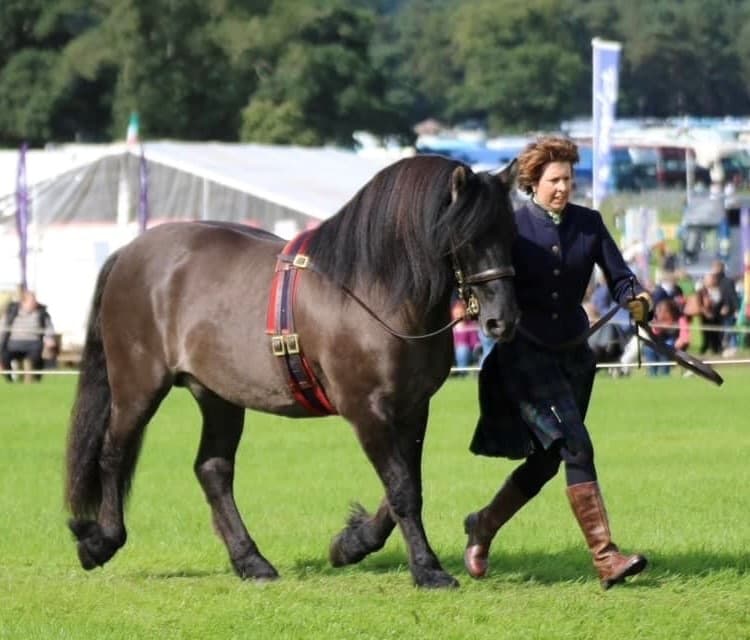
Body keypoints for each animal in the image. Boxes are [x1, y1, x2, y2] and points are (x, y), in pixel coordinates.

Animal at [65, 154, 519, 588]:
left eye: (510, 231)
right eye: (467, 235)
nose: (502, 320)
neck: (372, 291)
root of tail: (130, 252)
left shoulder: (412, 409)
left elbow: (404, 486)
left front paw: (351, 544)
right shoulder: (366, 410)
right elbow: (403, 490)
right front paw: (427, 569)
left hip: (217, 395)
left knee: (212, 469)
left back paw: (251, 561)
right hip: (137, 385)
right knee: (113, 453)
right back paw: (100, 542)